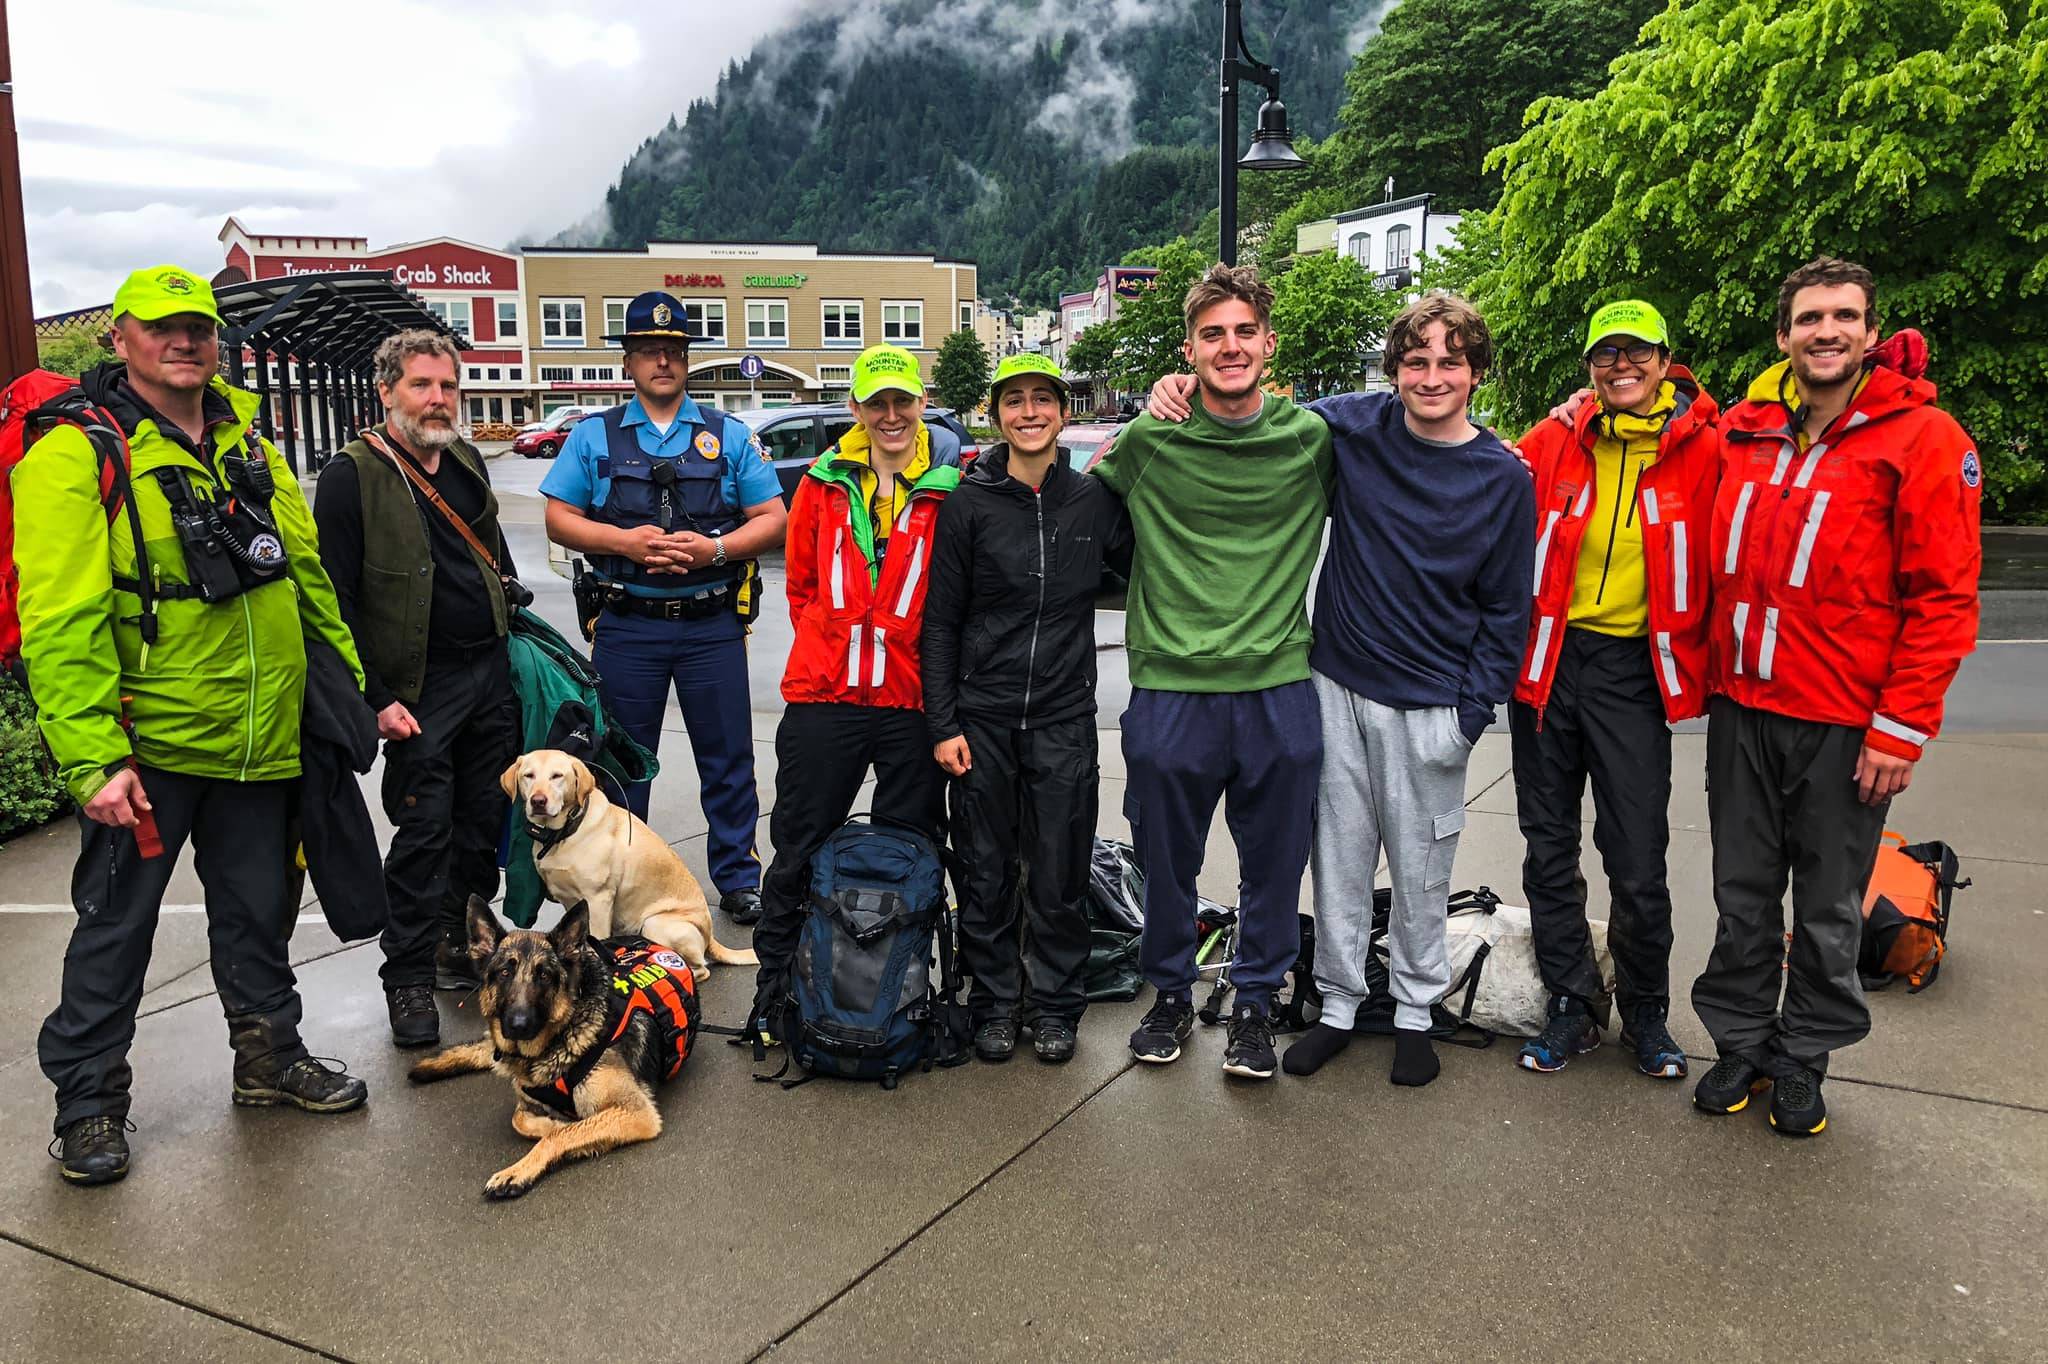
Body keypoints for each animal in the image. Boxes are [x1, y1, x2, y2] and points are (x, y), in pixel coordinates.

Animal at [407, 897, 696, 1196]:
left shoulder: (637, 1113)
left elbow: (561, 1133)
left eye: (544, 975)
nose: (518, 1025)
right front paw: (554, 1124)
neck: (563, 1036)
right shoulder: (529, 1102)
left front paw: (518, 1169)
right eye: (505, 972)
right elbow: (520, 1120)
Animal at [499, 745, 757, 978]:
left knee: (701, 969)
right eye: (529, 775)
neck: (565, 833)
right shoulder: (570, 901)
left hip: (656, 923)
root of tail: (710, 936)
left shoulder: (599, 900)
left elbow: (597, 940)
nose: (538, 801)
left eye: (557, 776)